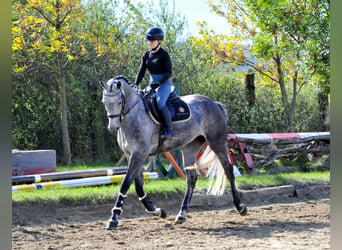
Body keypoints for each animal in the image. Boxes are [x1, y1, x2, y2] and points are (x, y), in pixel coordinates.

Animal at [99, 75, 246, 229]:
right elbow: (138, 186)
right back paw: (181, 214)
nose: (113, 127)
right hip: (190, 147)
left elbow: (126, 183)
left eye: (119, 102)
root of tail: (213, 104)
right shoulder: (131, 155)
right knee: (191, 179)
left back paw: (240, 207)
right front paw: (156, 210)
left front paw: (114, 217)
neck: (133, 115)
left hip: (217, 142)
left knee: (228, 170)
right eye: (104, 102)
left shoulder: (139, 154)